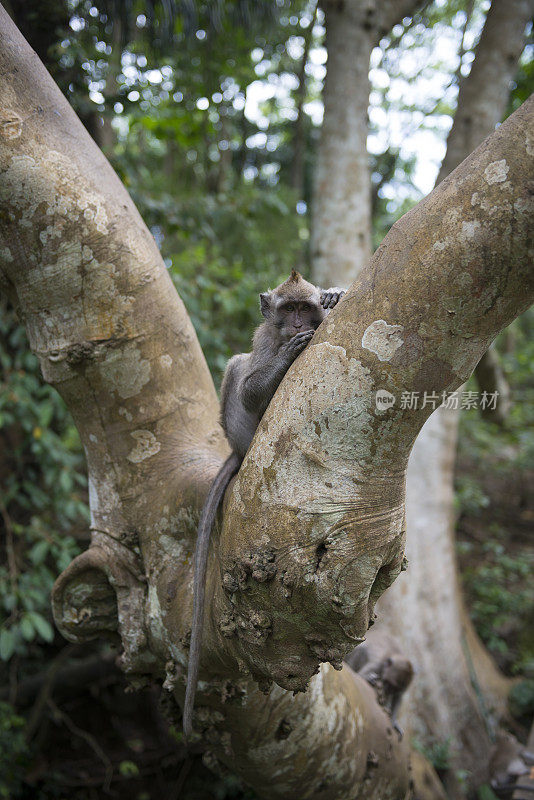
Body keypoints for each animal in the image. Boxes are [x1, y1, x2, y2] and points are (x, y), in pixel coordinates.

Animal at [184, 270, 350, 736]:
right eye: (287, 310)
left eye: (303, 309)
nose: (296, 326)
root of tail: (238, 451)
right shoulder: (264, 340)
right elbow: (249, 385)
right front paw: (284, 360)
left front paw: (336, 294)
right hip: (241, 432)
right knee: (237, 367)